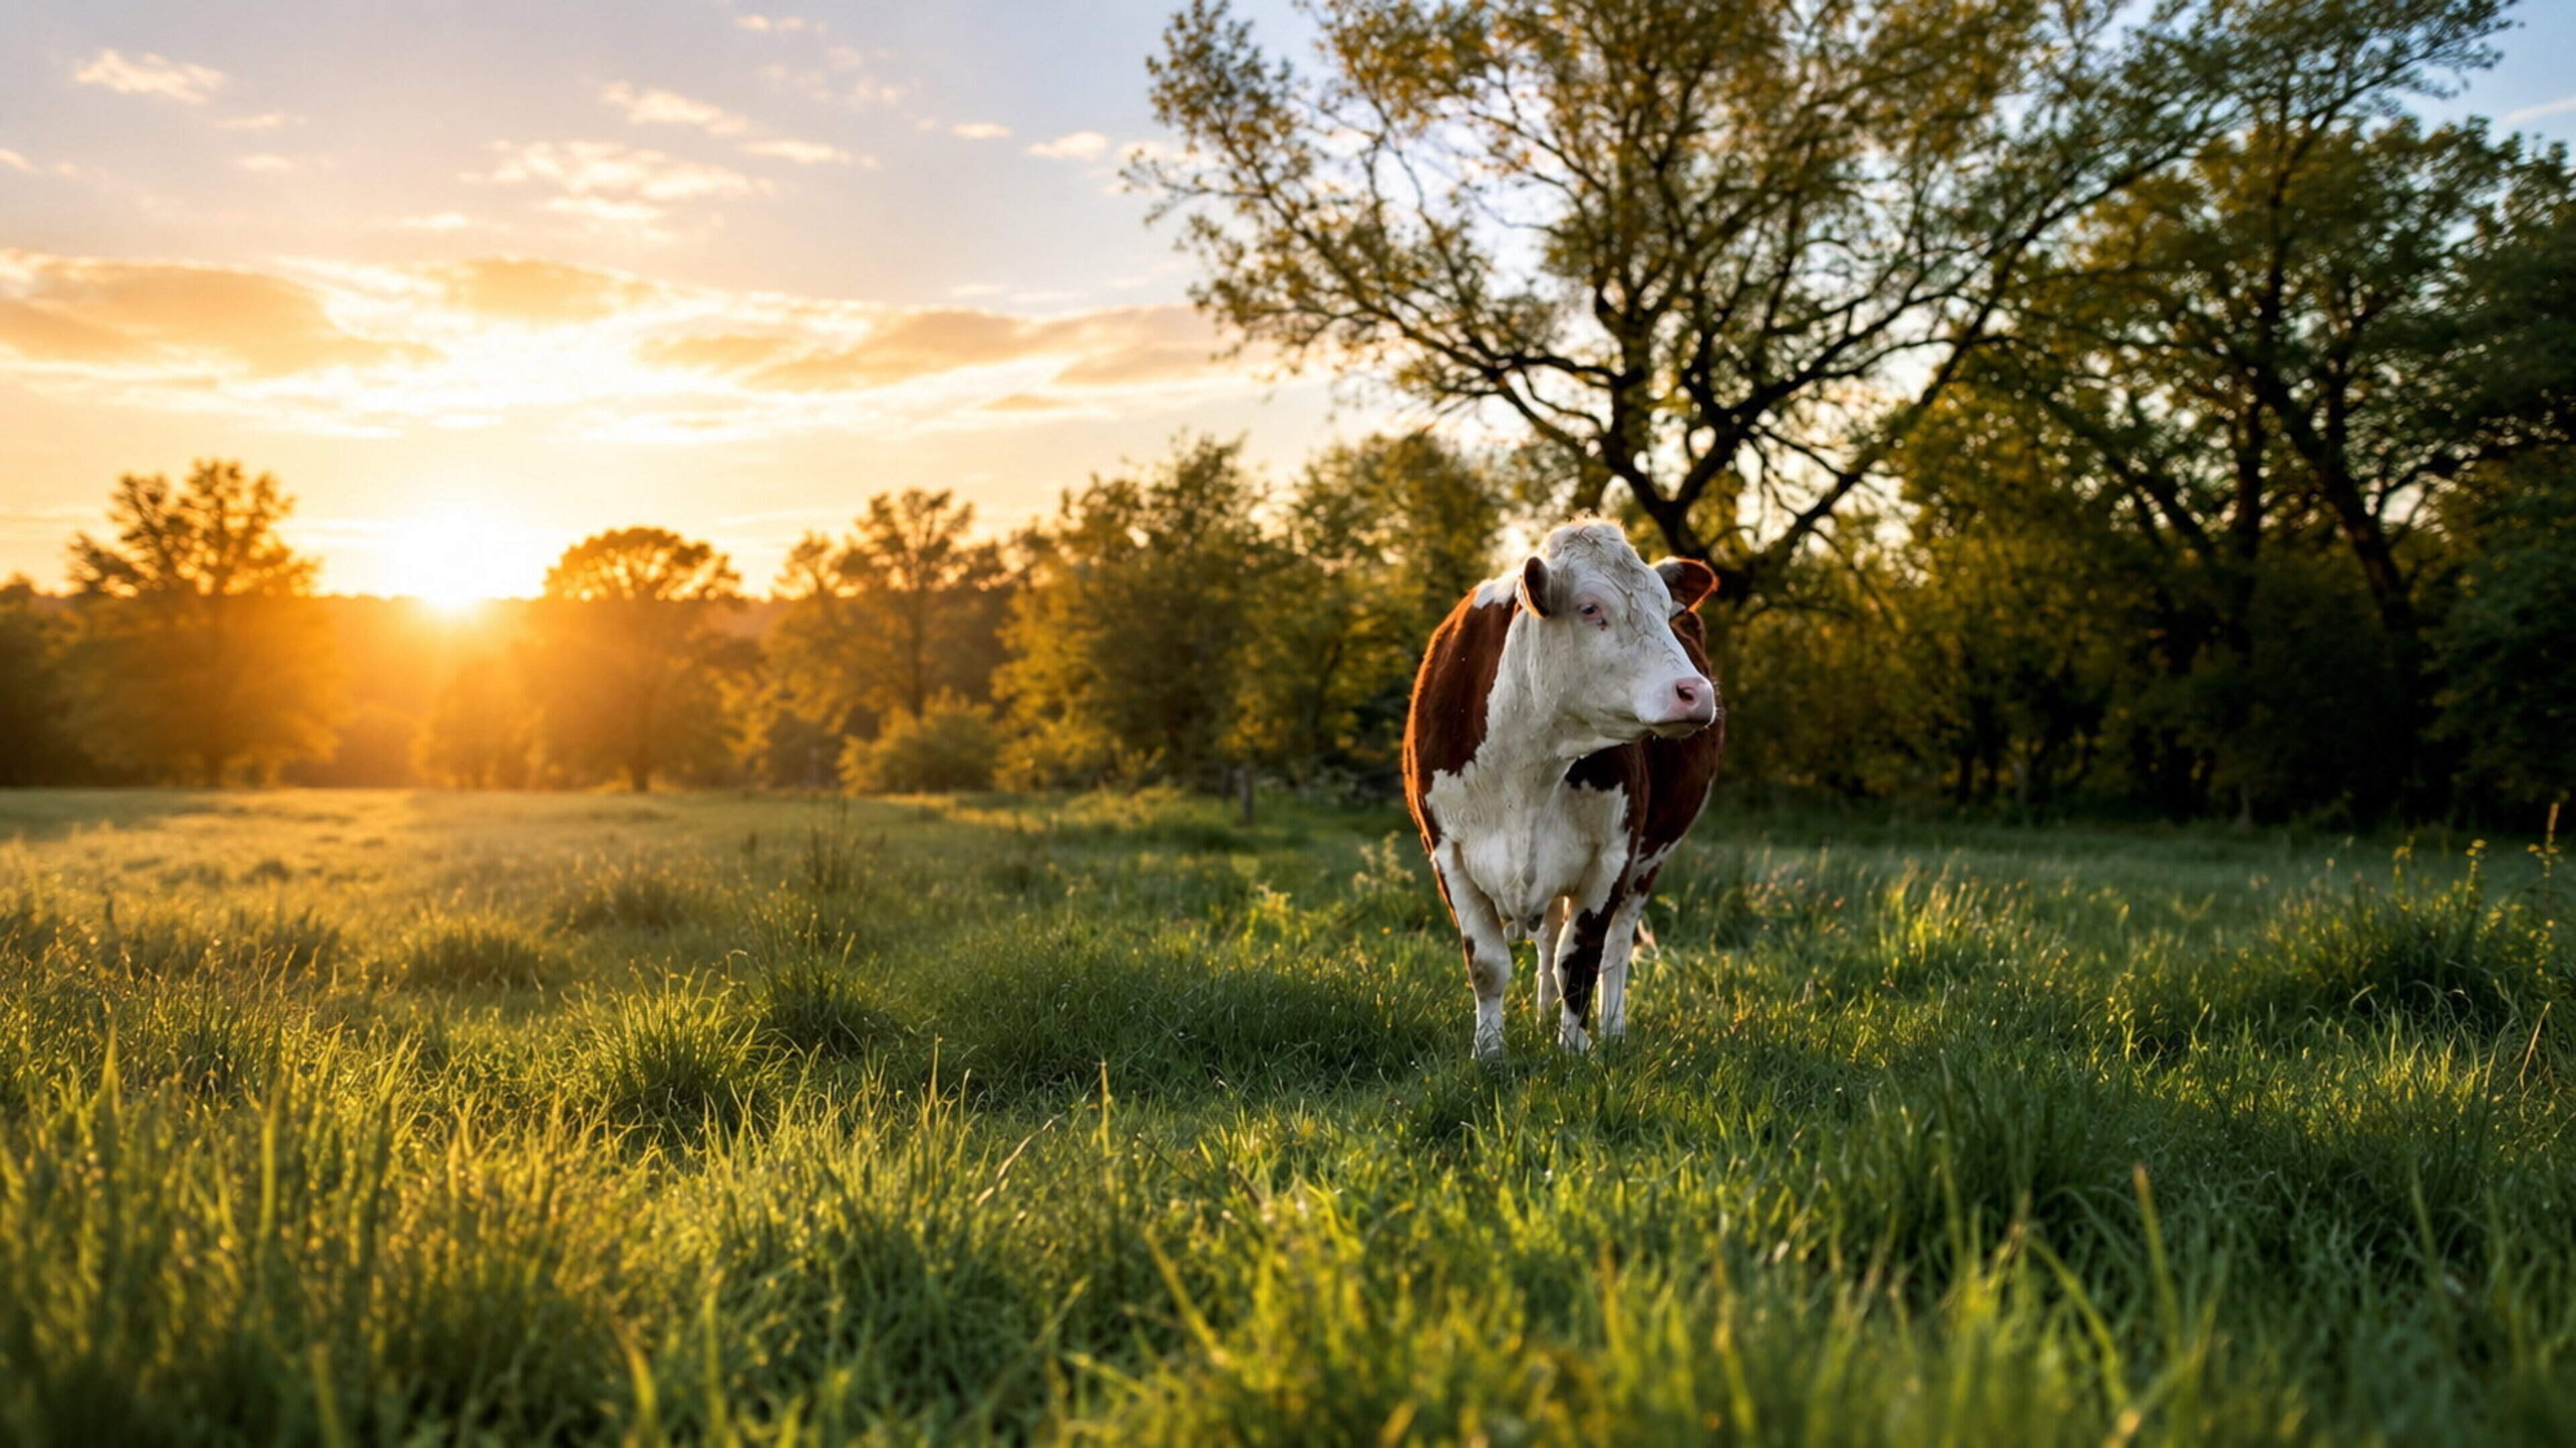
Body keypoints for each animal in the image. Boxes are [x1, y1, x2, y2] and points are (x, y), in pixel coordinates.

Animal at [1403, 520, 1723, 1059]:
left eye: (1665, 608)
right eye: (1590, 608)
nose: (1695, 692)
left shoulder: (1614, 855)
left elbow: (1581, 963)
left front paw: (1575, 1052)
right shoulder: (1448, 854)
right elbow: (1488, 964)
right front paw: (1490, 1055)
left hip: (1649, 862)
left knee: (1615, 947)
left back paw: (1612, 1029)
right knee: (1548, 935)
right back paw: (1540, 1015)